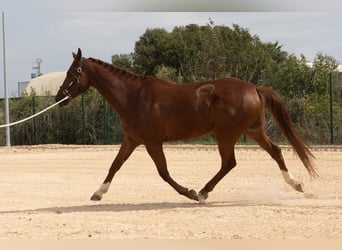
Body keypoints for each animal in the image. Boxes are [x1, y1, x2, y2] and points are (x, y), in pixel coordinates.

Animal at [56, 49, 318, 203]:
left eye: (72, 72)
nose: (59, 97)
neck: (133, 96)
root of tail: (253, 87)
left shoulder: (152, 143)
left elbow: (163, 172)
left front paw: (189, 192)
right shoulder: (132, 140)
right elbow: (115, 165)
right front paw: (98, 193)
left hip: (226, 135)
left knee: (229, 163)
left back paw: (202, 192)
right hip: (253, 131)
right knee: (276, 152)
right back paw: (296, 185)